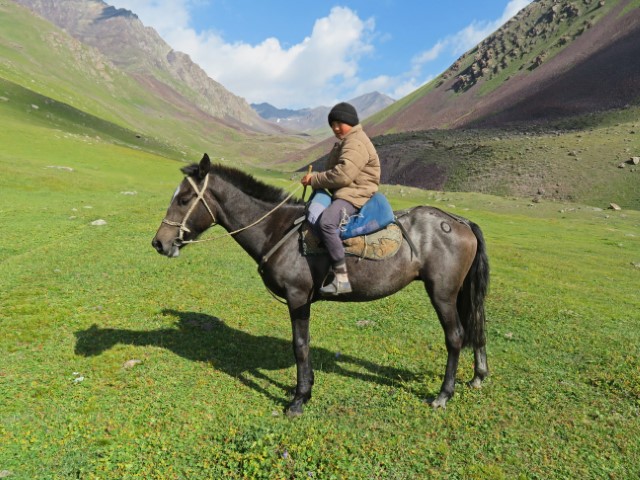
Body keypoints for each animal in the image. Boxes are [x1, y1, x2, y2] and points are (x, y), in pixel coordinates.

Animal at [151, 154, 490, 416]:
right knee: (476, 326)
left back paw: (443, 395)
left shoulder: (297, 297)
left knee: (455, 337)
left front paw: (299, 399)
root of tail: (458, 221)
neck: (276, 231)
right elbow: (304, 344)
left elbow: (300, 345)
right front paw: (306, 388)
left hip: (442, 293)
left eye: (184, 199)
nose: (159, 243)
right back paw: (478, 376)